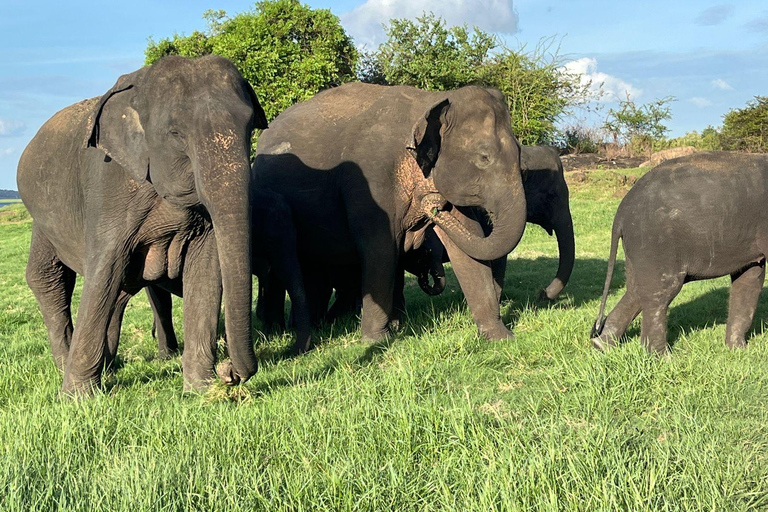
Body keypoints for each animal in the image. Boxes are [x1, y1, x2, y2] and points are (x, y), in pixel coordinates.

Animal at [16, 54, 268, 394]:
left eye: (249, 124)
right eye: (175, 133)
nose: (229, 373)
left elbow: (206, 267)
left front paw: (201, 390)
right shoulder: (109, 186)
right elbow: (104, 269)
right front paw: (76, 398)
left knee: (121, 289)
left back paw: (110, 364)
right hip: (42, 218)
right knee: (49, 278)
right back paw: (66, 364)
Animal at [255, 82, 532, 342]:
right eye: (484, 157)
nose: (433, 206)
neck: (431, 101)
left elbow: (469, 243)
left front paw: (500, 337)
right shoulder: (371, 179)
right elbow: (381, 248)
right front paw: (376, 340)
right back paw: (281, 329)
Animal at [592, 150, 768, 354]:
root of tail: (621, 212)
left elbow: (750, 277)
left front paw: (738, 351)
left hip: (638, 245)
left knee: (637, 290)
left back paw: (601, 345)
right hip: (656, 241)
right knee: (660, 292)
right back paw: (661, 356)